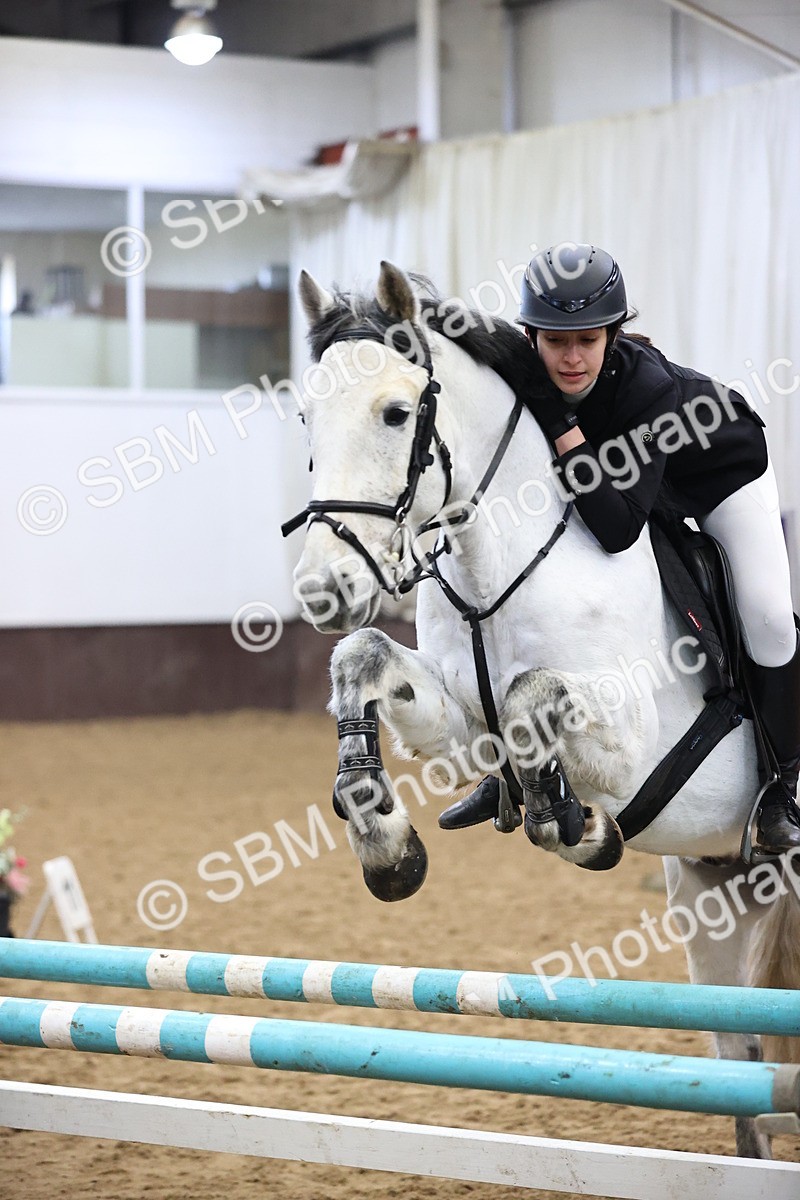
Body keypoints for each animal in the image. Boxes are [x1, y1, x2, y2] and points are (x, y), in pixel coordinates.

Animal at [285, 261, 800, 1160]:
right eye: (308, 414)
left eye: (395, 412)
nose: (323, 591)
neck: (499, 559)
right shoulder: (462, 726)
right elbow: (363, 661)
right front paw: (387, 846)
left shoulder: (633, 743)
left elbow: (535, 698)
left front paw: (580, 827)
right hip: (717, 889)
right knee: (743, 1059)